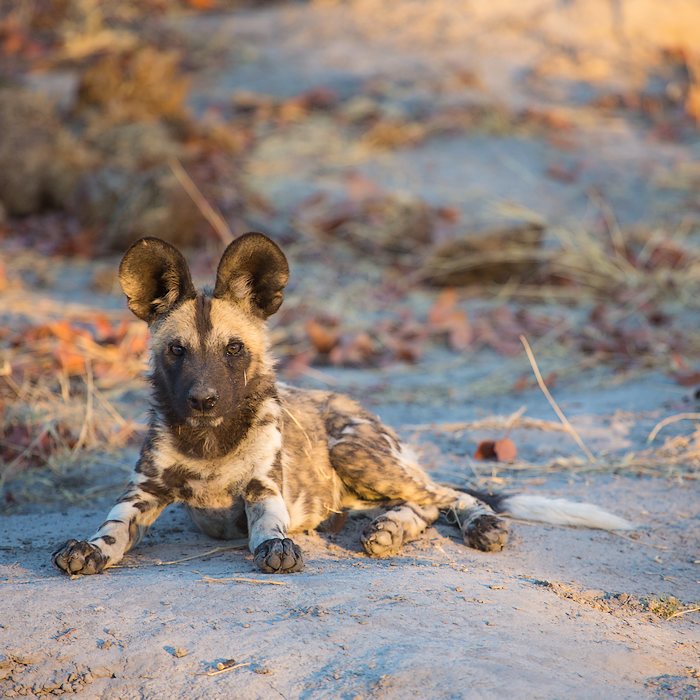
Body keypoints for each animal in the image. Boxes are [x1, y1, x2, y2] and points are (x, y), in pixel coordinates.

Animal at [52, 234, 632, 576]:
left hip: (357, 453)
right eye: (177, 351)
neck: (210, 441)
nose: (203, 399)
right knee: (420, 505)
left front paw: (275, 547)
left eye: (234, 350)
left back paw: (475, 526)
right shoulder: (143, 494)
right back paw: (387, 530)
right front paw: (90, 548)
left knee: (444, 494)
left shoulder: (264, 489)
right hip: (356, 488)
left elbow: (268, 526)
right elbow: (112, 530)